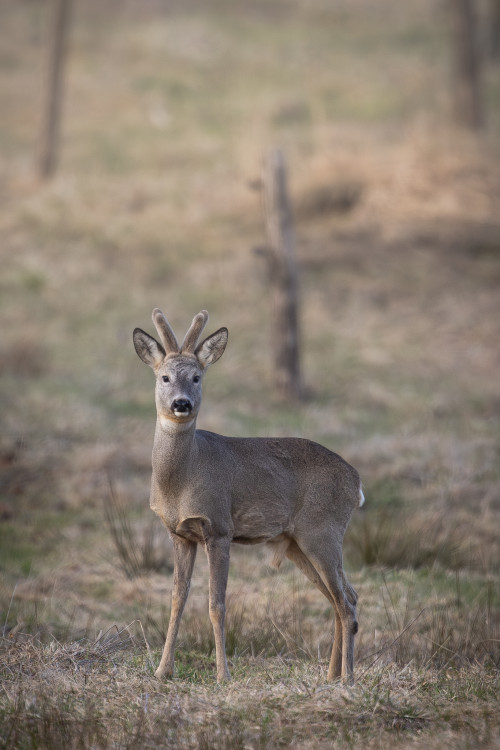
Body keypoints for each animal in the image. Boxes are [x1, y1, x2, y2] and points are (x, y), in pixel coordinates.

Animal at [133, 308, 364, 684]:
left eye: (196, 377)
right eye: (164, 377)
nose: (181, 404)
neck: (181, 480)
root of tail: (356, 483)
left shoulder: (219, 527)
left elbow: (217, 605)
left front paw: (223, 675)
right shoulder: (179, 534)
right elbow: (176, 600)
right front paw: (162, 671)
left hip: (323, 531)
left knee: (345, 602)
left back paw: (348, 679)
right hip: (298, 542)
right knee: (344, 597)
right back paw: (330, 677)